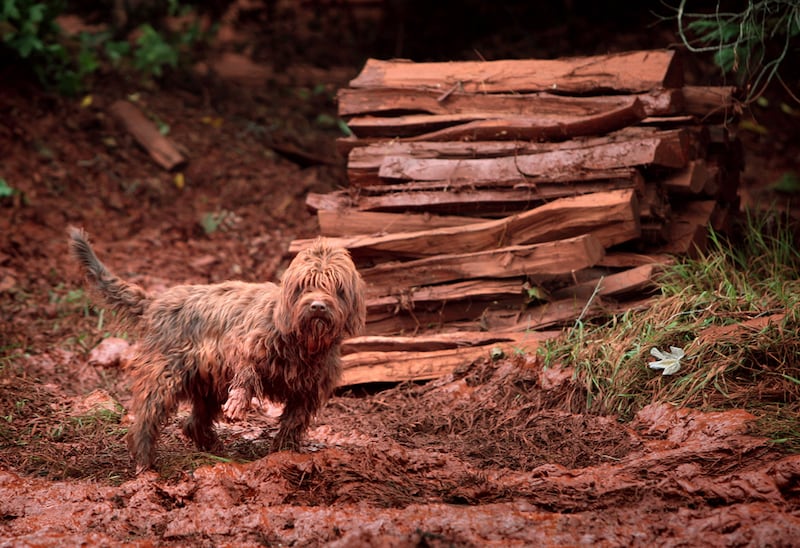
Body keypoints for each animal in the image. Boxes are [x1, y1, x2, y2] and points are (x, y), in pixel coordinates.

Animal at [69, 228, 366, 476]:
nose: (317, 306)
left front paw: (284, 453)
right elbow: (246, 370)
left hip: (207, 385)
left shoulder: (307, 392)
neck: (303, 343)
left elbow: (293, 423)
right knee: (145, 420)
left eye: (336, 288)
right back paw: (145, 464)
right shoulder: (242, 345)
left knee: (193, 422)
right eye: (305, 284)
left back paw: (211, 446)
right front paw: (238, 404)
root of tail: (155, 302)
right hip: (163, 377)